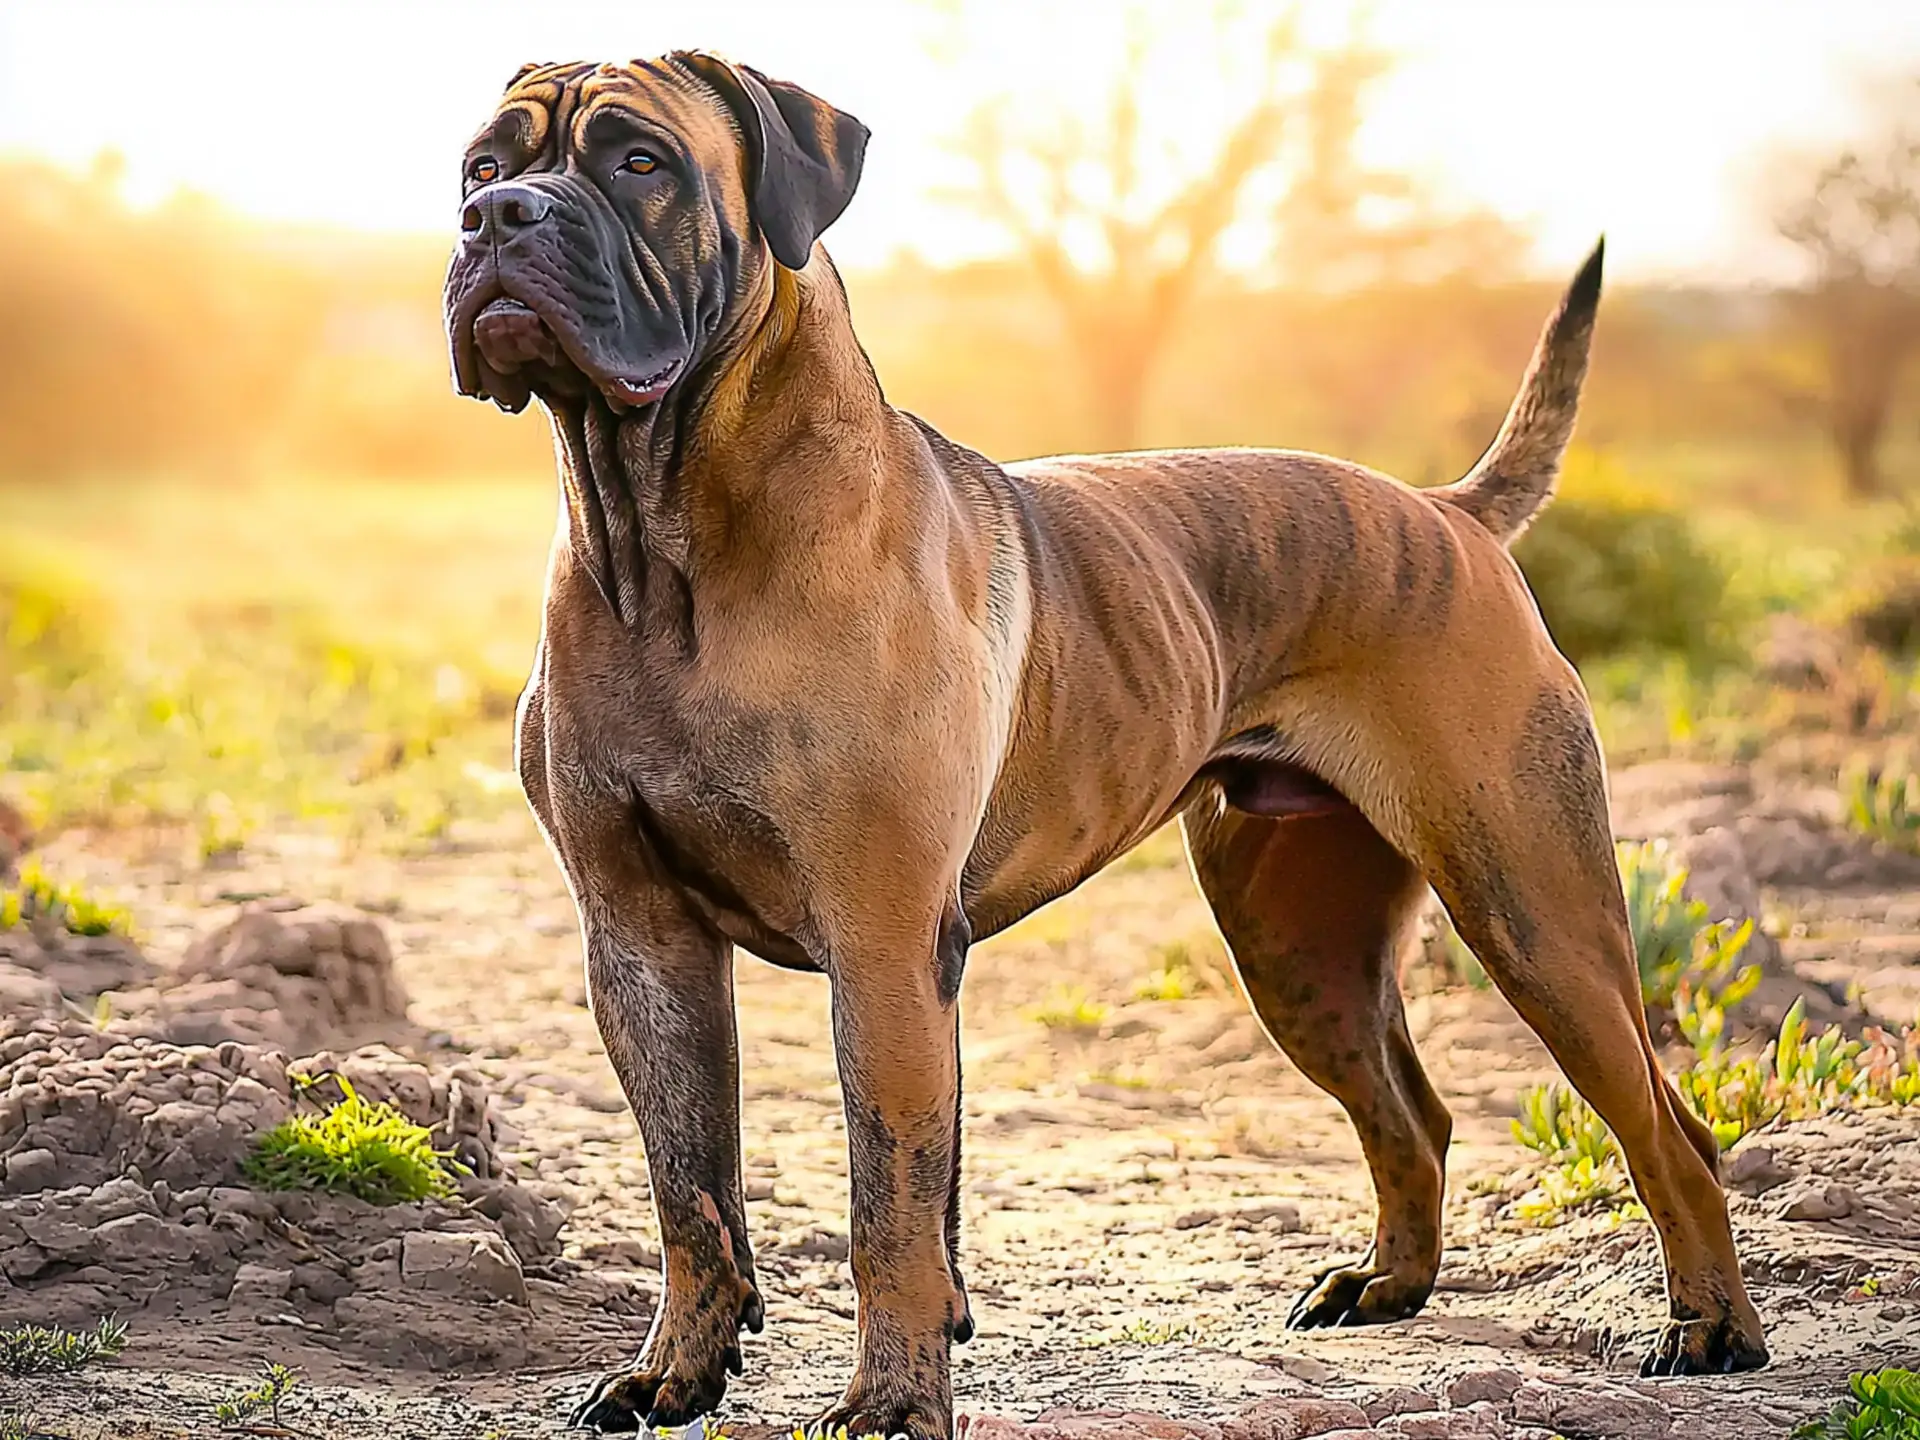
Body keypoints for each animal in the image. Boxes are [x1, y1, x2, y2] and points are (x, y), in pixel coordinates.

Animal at [445, 53, 1766, 1440]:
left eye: (638, 161)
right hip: (1301, 949)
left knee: (1667, 1128)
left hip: (1534, 912)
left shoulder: (882, 943)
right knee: (1413, 1114)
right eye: (484, 165)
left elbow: (887, 1205)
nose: (497, 219)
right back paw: (1386, 1287)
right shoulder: (642, 941)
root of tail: (1445, 512)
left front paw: (894, 1403)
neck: (663, 542)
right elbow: (691, 1185)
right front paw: (678, 1373)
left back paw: (1711, 1327)